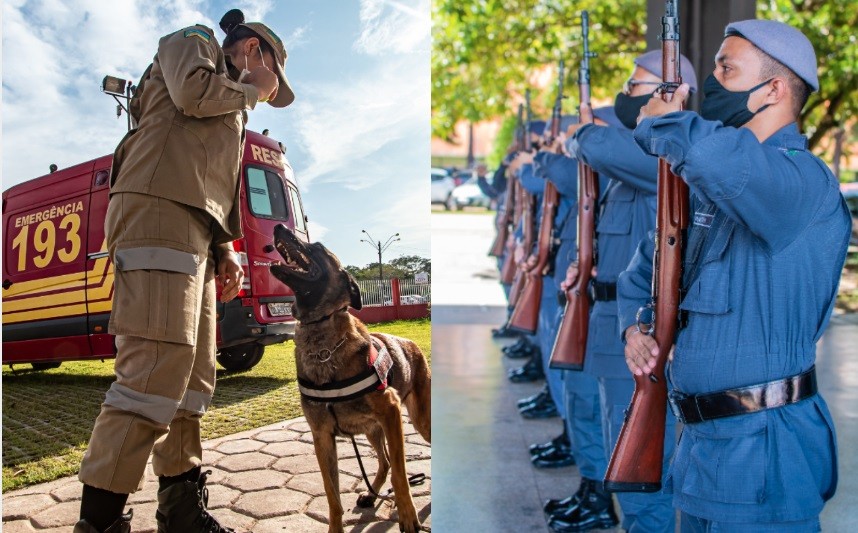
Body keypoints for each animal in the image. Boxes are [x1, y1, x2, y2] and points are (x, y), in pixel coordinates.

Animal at [268, 225, 428, 532]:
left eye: (317, 246)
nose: (279, 227)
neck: (320, 337)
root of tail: (411, 343)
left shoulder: (391, 411)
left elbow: (401, 475)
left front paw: (408, 516)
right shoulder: (322, 436)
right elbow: (332, 496)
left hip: (417, 422)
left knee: (396, 461)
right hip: (373, 430)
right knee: (384, 461)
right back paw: (371, 493)